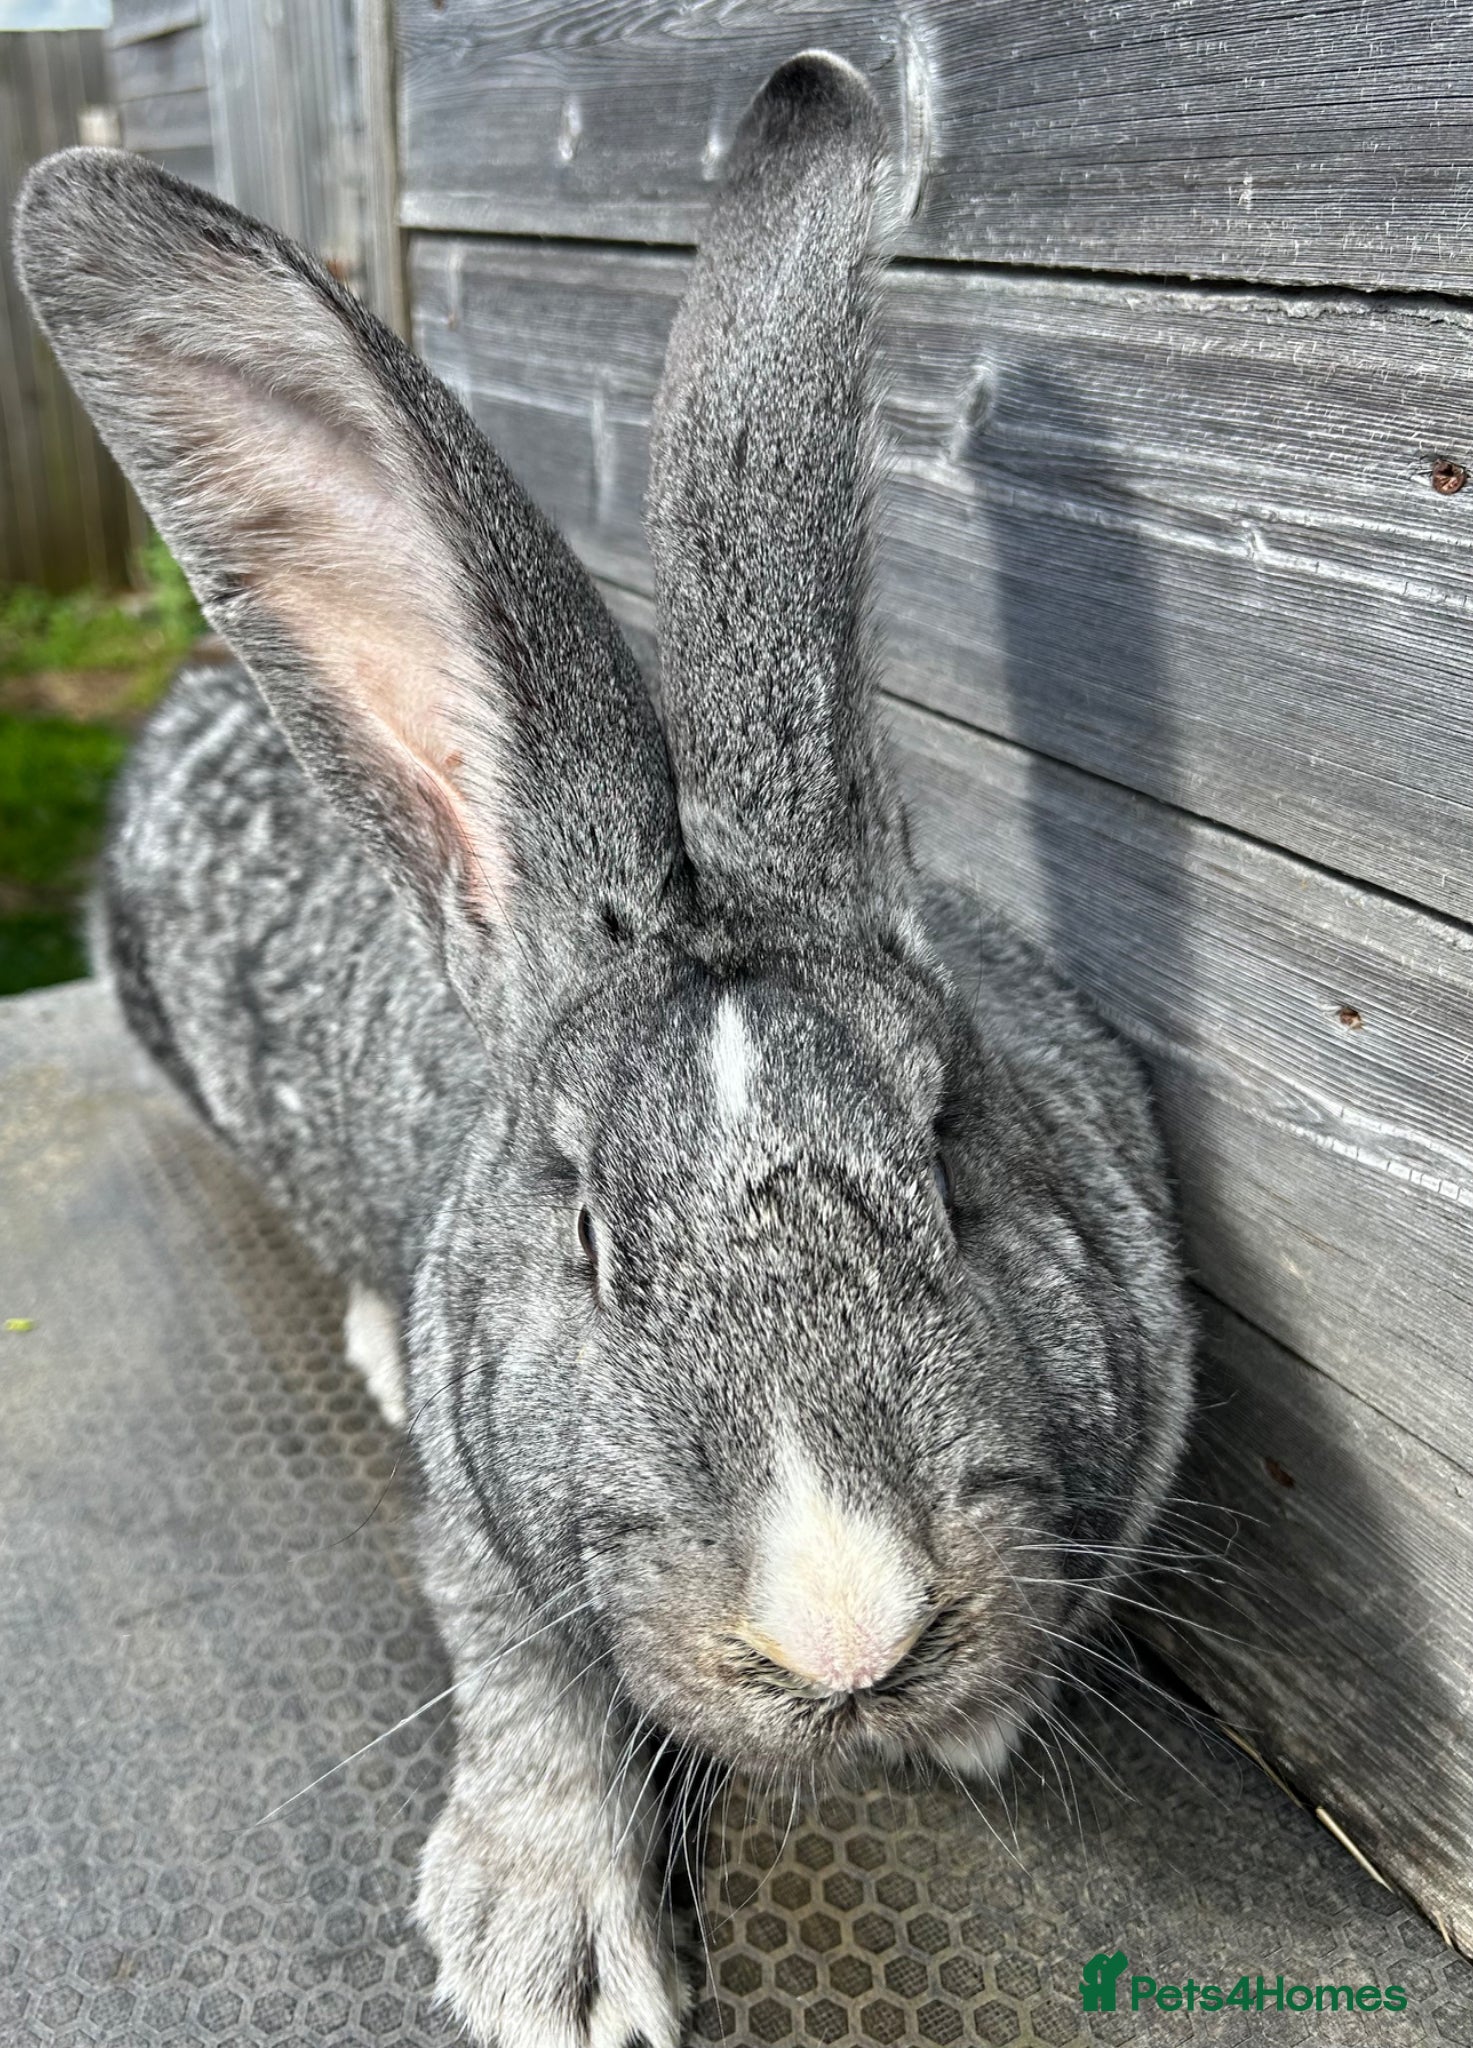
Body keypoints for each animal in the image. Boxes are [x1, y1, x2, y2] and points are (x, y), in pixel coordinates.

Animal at [16, 51, 1192, 2048]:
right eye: (581, 1233)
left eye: (952, 1161)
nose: (843, 1631)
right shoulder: (483, 1536)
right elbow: (515, 1670)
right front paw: (546, 1953)